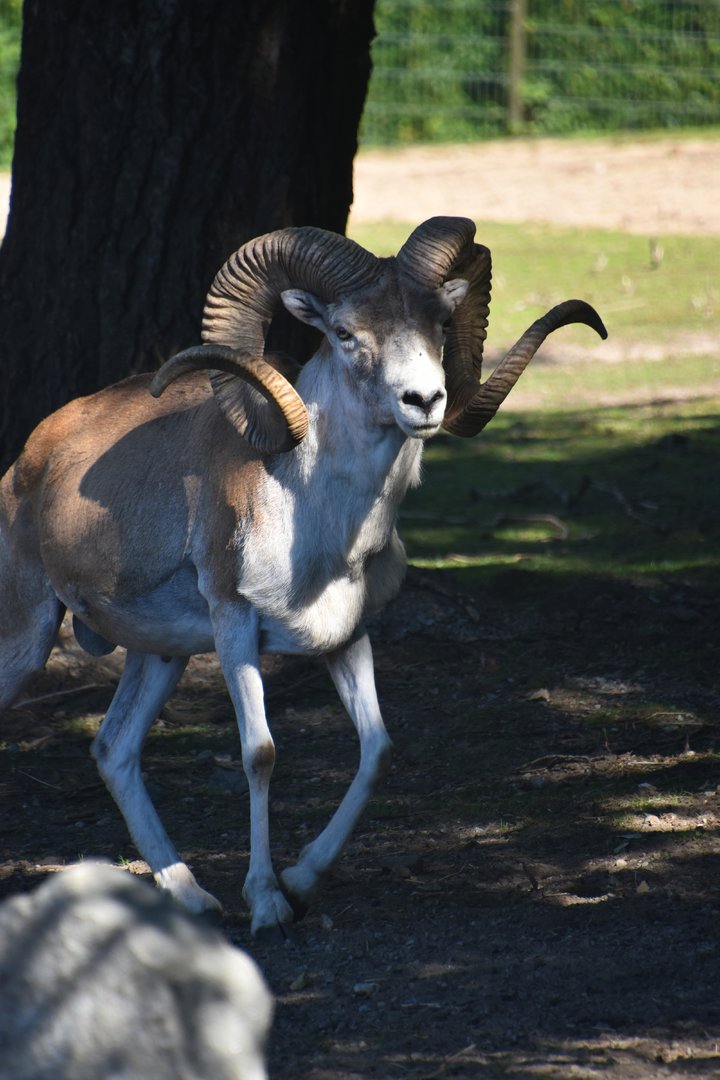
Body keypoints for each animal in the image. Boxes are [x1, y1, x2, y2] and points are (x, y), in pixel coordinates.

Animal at [0, 217, 606, 934]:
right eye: (345, 332)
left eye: (437, 321)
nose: (424, 401)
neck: (316, 523)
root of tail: (31, 456)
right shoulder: (235, 627)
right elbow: (260, 754)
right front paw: (266, 903)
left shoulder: (347, 638)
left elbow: (377, 748)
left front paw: (301, 879)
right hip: (27, 641)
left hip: (160, 657)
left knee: (114, 751)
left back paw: (193, 898)